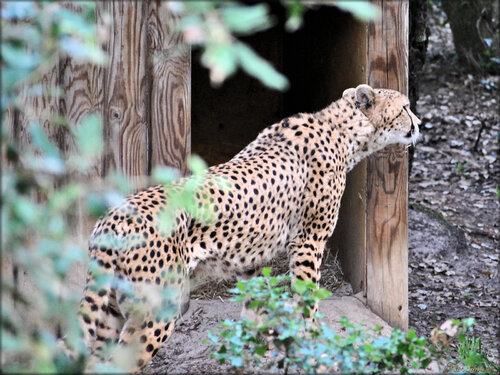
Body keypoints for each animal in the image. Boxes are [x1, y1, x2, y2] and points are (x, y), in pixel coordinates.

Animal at [79, 83, 422, 372]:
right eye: (405, 107)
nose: (419, 124)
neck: (343, 133)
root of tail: (112, 218)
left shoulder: (250, 258)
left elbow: (256, 301)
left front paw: (257, 344)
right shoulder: (308, 241)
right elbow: (306, 297)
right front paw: (311, 343)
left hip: (110, 310)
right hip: (155, 310)